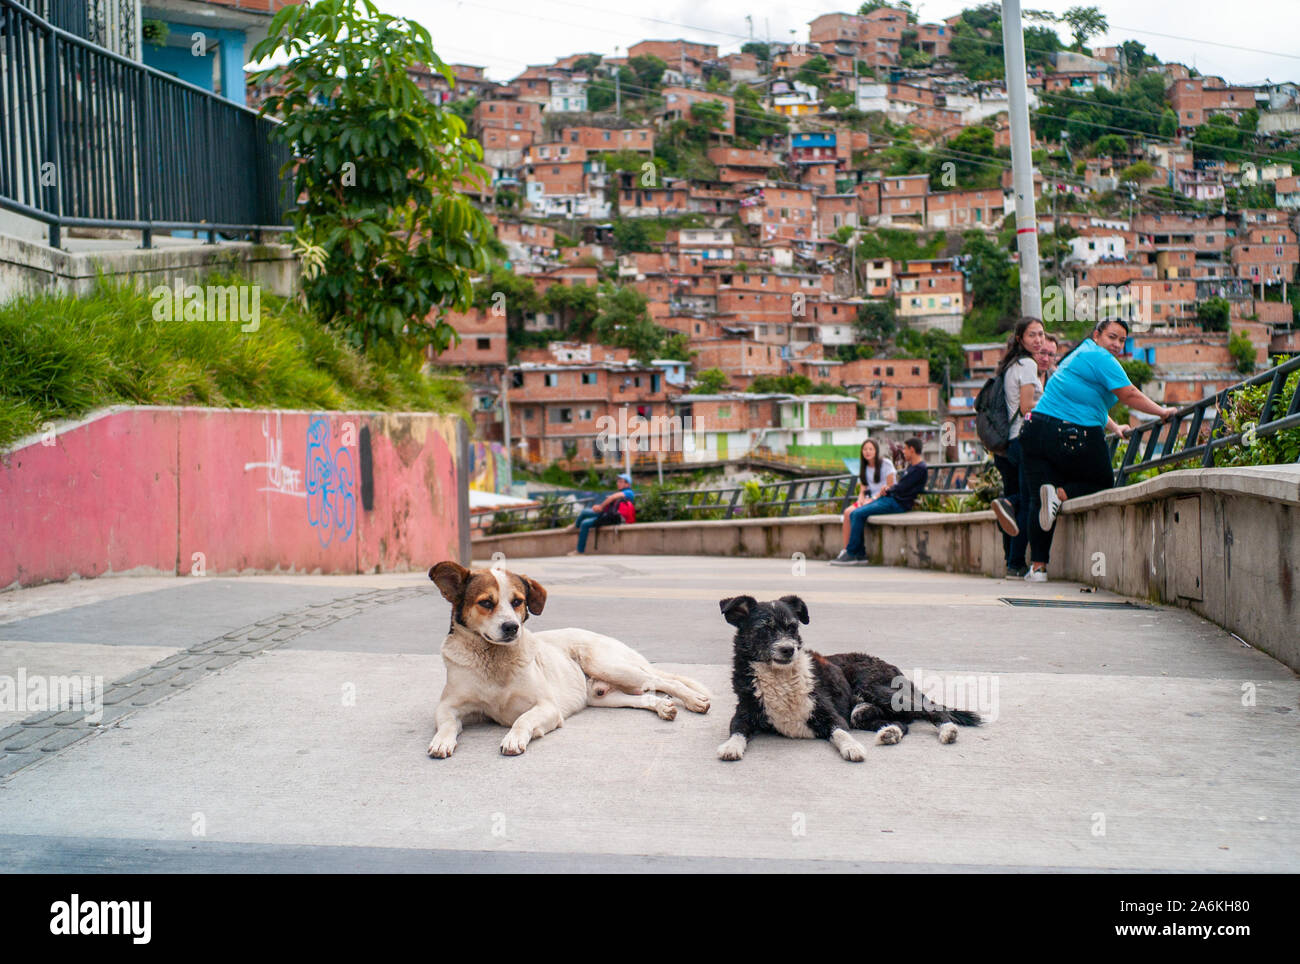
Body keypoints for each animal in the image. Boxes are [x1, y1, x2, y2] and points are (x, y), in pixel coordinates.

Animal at [426, 563, 712, 758]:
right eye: (486, 602)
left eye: (518, 601)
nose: (512, 627)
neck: (494, 660)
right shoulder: (448, 706)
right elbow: (448, 723)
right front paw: (442, 740)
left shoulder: (547, 707)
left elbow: (522, 720)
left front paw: (514, 738)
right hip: (601, 696)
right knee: (643, 696)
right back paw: (663, 706)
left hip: (608, 666)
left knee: (662, 681)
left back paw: (694, 700)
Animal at [717, 597, 977, 763]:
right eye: (764, 628)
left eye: (792, 628)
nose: (789, 649)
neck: (780, 676)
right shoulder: (744, 712)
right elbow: (736, 730)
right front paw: (730, 746)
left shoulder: (830, 714)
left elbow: (840, 732)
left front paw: (852, 747)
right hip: (861, 712)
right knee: (901, 724)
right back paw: (890, 733)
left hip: (877, 689)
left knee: (932, 710)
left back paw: (948, 730)